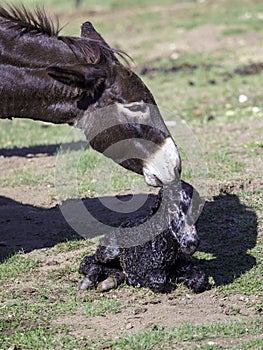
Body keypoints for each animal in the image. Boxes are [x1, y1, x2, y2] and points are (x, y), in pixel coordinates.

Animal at [79, 180, 210, 292]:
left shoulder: (184, 265)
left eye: (197, 208)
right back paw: (89, 281)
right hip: (109, 252)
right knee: (87, 262)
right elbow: (158, 281)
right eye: (172, 207)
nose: (191, 243)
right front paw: (134, 278)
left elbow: (201, 280)